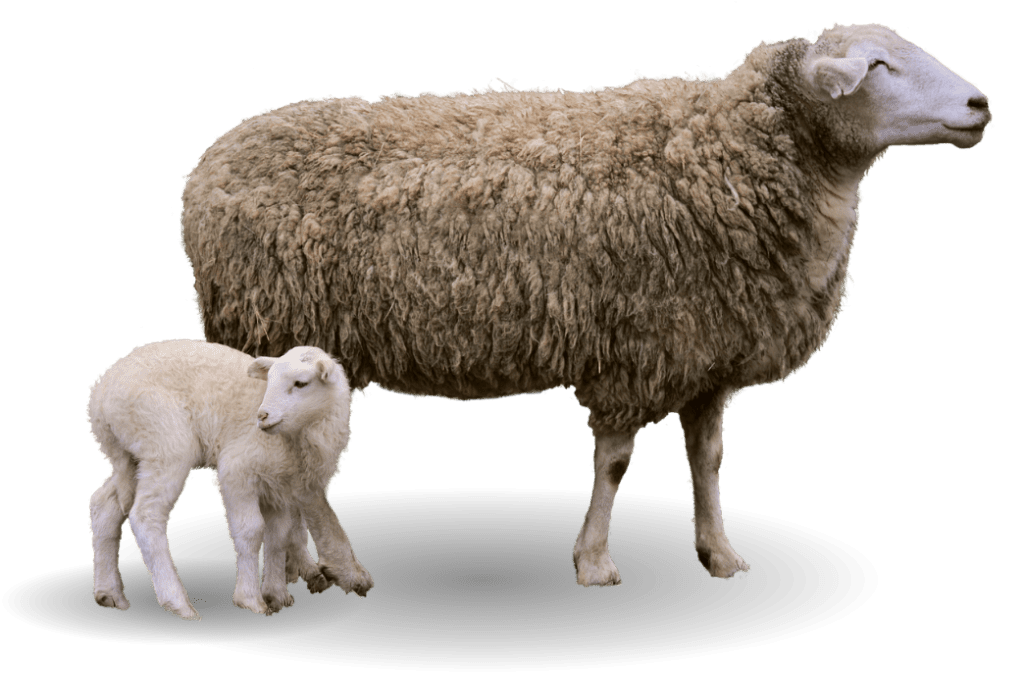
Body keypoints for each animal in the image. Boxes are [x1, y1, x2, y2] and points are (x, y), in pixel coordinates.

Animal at [86, 339, 373, 620]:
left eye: (301, 383)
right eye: (269, 380)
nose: (262, 416)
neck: (301, 437)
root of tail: (100, 393)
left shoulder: (278, 485)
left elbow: (279, 536)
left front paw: (277, 594)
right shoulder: (237, 471)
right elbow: (251, 531)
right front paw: (251, 599)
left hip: (131, 456)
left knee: (104, 506)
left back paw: (109, 593)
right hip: (165, 443)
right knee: (145, 515)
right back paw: (178, 602)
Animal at [178, 23, 992, 587]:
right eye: (877, 66)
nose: (981, 104)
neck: (726, 157)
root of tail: (207, 167)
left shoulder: (707, 355)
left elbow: (708, 458)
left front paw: (719, 551)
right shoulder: (634, 347)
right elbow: (617, 464)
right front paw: (596, 562)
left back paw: (304, 568)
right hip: (280, 323)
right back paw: (338, 570)